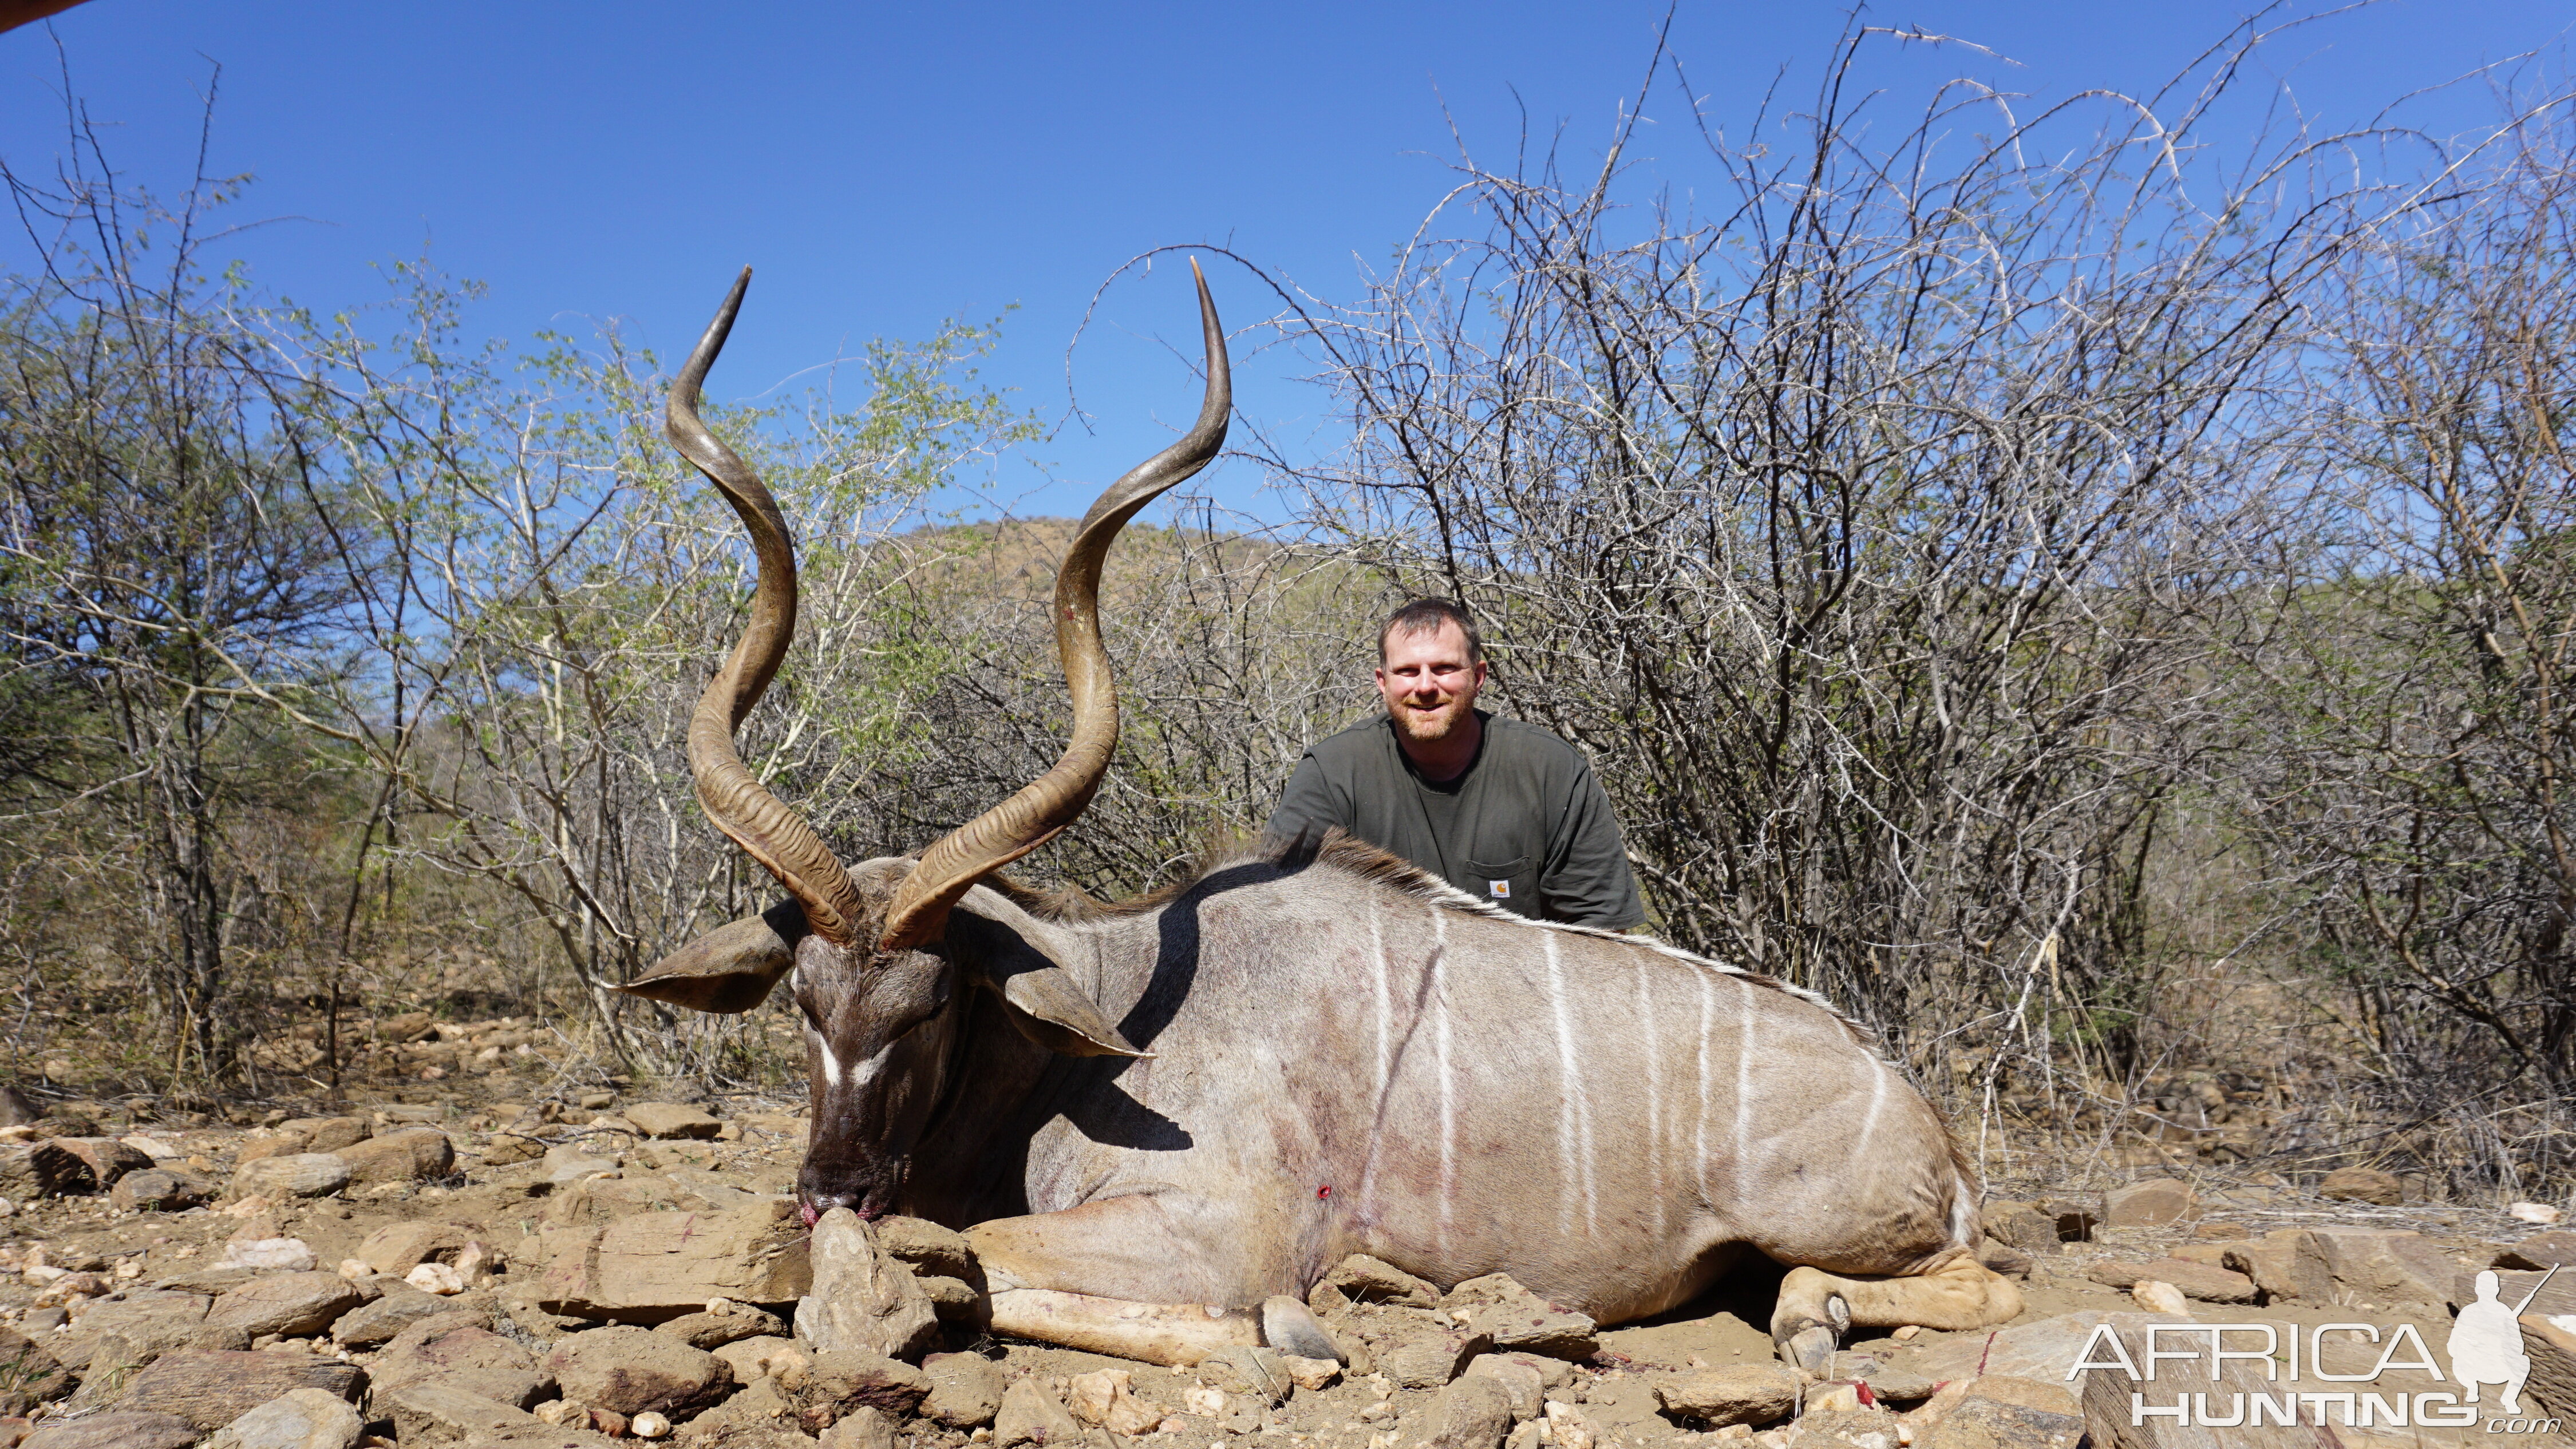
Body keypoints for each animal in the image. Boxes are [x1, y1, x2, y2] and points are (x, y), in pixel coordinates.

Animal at [618, 263, 2009, 1369]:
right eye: (804, 1003)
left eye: (934, 1003)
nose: (832, 1194)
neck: (1103, 1024)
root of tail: (1926, 1125)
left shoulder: (1218, 1230)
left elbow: (993, 1266)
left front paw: (1282, 1333)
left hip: (1843, 1226)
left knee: (1969, 1285)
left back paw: (1816, 1319)